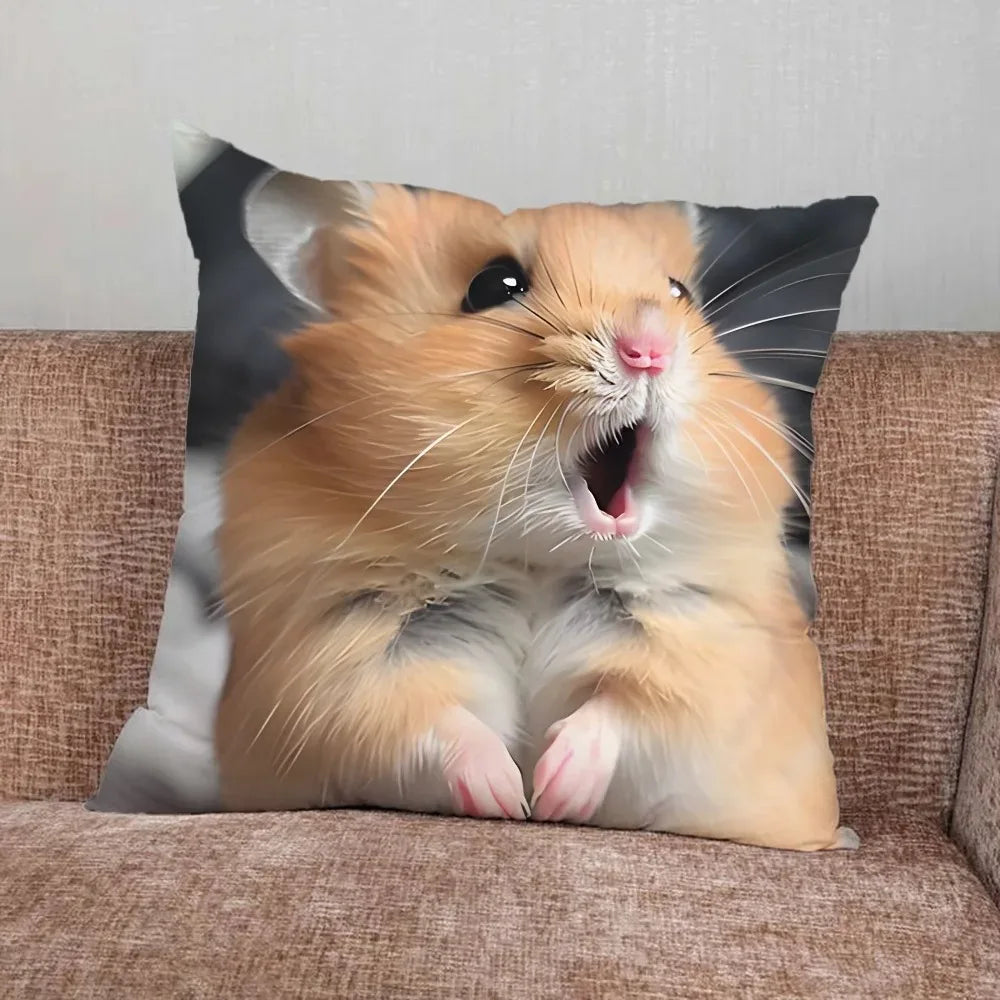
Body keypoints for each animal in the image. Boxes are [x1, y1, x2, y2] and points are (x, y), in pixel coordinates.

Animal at [213, 177, 855, 851]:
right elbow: (428, 720)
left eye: (679, 293)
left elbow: (625, 711)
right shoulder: (336, 663)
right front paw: (508, 796)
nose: (650, 351)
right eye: (493, 286)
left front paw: (554, 792)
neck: (538, 559)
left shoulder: (704, 649)